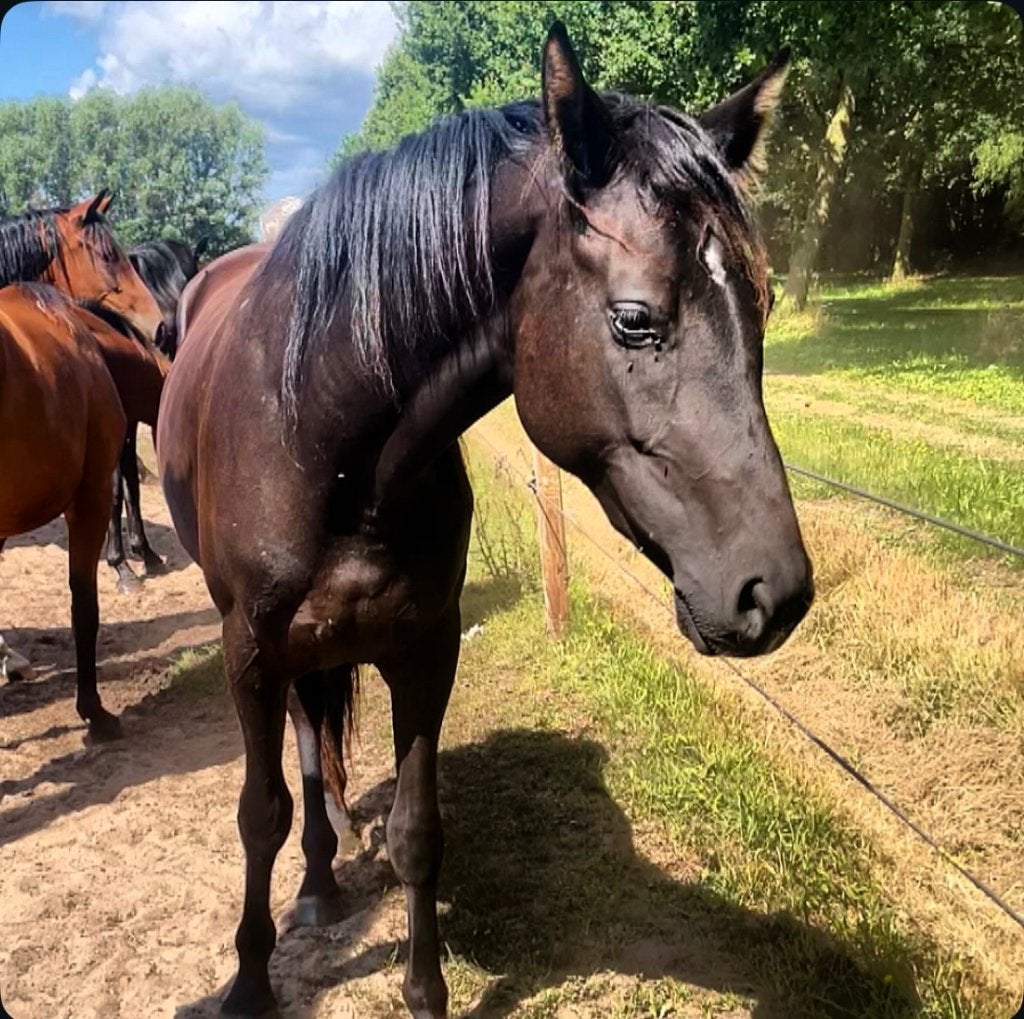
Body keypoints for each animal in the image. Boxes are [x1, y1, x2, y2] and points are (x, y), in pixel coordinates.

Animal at [104, 237, 207, 593]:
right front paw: (121, 566)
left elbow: (130, 484)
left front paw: (144, 553)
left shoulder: (131, 424)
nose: (164, 335)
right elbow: (117, 487)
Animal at [156, 23, 813, 1018]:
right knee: (306, 748)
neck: (329, 446)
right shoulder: (249, 652)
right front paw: (249, 982)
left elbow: (417, 830)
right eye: (634, 319)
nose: (776, 593)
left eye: (764, 307)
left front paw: (425, 990)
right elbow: (259, 811)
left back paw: (322, 880)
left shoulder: (427, 646)